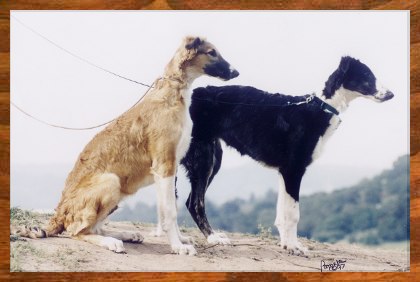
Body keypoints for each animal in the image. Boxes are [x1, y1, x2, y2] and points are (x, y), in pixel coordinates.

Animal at [13, 35, 240, 256]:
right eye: (212, 52)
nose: (236, 72)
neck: (173, 92)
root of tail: (59, 214)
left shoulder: (167, 169)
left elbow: (167, 209)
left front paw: (179, 240)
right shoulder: (164, 165)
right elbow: (170, 212)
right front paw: (178, 246)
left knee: (94, 227)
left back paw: (127, 235)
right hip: (111, 181)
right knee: (77, 231)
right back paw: (112, 242)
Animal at [180, 56, 394, 254]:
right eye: (367, 76)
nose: (391, 94)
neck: (321, 107)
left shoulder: (284, 171)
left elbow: (282, 213)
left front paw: (287, 244)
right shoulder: (294, 170)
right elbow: (292, 213)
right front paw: (293, 247)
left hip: (212, 157)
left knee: (186, 201)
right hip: (204, 158)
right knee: (195, 203)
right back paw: (213, 237)